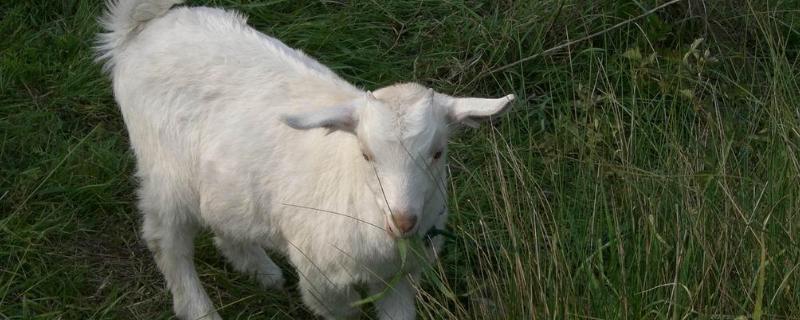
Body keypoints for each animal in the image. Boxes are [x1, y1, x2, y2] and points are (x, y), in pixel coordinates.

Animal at [97, 1, 516, 318]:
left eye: (437, 152)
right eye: (366, 154)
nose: (402, 221)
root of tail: (141, 29)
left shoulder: (398, 279)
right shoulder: (324, 281)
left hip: (225, 178)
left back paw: (260, 269)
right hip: (164, 172)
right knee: (167, 241)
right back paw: (200, 309)